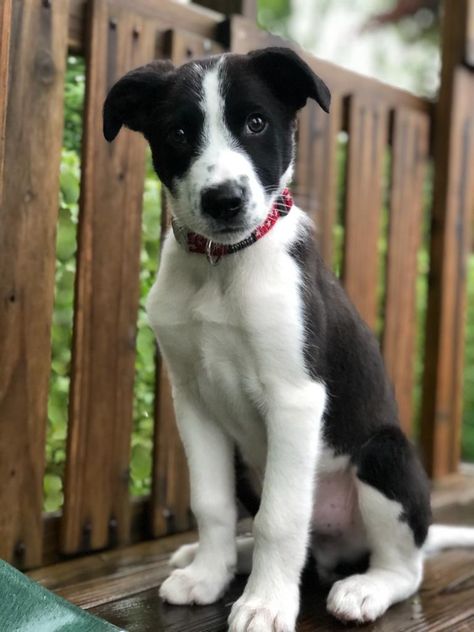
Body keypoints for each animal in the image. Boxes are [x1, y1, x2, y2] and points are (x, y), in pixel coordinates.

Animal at [103, 49, 474, 632]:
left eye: (256, 123)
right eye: (178, 132)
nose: (225, 200)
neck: (221, 266)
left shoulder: (295, 398)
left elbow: (279, 518)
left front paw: (265, 604)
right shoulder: (193, 400)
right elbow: (211, 504)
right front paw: (208, 575)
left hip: (384, 456)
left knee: (403, 567)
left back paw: (365, 588)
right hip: (247, 464)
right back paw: (226, 558)